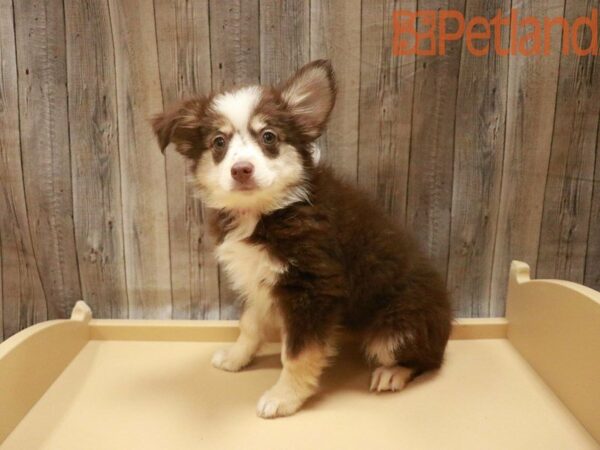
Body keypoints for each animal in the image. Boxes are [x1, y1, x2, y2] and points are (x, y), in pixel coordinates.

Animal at [152, 59, 452, 418]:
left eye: (269, 137)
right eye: (218, 143)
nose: (242, 170)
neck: (265, 213)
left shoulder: (312, 289)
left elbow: (297, 353)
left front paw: (283, 397)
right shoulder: (259, 279)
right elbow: (249, 324)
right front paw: (237, 358)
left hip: (397, 329)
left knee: (428, 359)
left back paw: (392, 372)